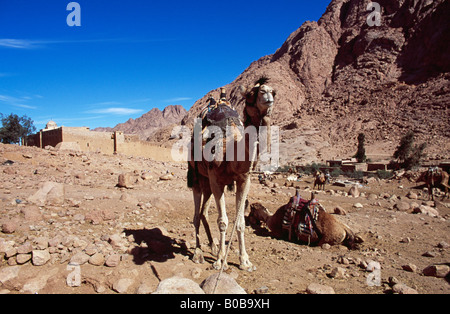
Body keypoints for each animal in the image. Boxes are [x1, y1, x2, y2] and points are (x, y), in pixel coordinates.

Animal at [188, 78, 276, 270]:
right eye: (251, 93)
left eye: (274, 91)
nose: (267, 93)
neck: (231, 151)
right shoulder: (216, 180)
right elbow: (223, 221)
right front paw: (221, 261)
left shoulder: (244, 179)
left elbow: (240, 222)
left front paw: (245, 261)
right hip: (198, 177)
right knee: (196, 215)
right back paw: (198, 253)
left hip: (207, 183)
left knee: (204, 212)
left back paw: (212, 246)